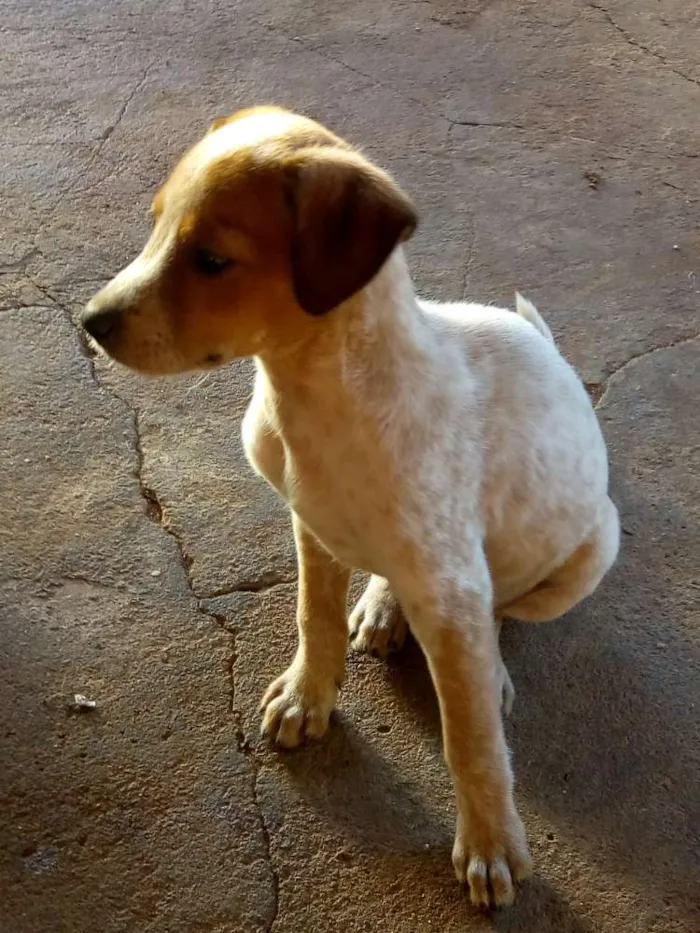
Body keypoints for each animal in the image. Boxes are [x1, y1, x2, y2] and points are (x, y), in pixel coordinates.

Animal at [82, 105, 616, 908]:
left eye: (210, 259)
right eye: (155, 224)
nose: (90, 321)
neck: (316, 394)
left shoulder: (452, 584)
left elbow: (471, 740)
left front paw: (490, 840)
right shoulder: (310, 523)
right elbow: (316, 616)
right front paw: (309, 696)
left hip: (587, 554)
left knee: (501, 612)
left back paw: (483, 666)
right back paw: (384, 605)